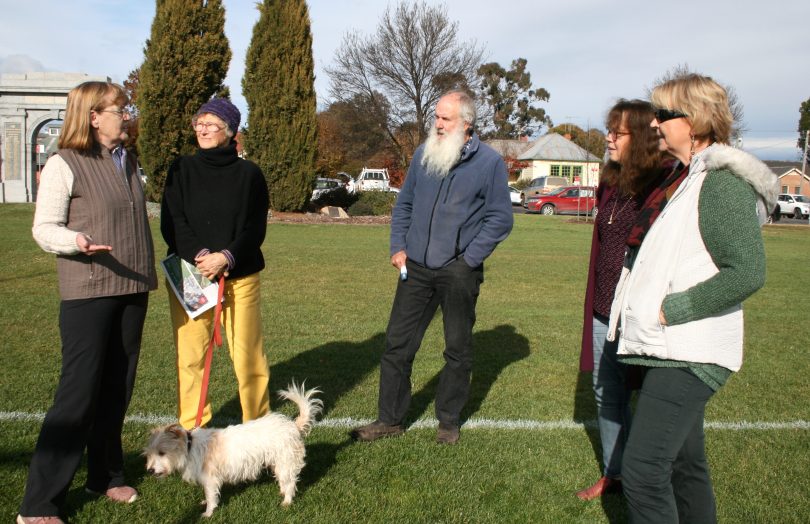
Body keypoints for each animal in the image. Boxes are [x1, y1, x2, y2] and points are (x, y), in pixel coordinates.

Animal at [144, 382, 320, 516]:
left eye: (162, 453)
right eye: (150, 454)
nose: (150, 470)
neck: (189, 447)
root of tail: (293, 426)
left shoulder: (210, 479)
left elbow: (211, 497)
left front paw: (207, 513)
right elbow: (208, 495)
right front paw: (205, 503)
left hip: (285, 462)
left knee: (290, 483)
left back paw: (286, 501)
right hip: (279, 463)